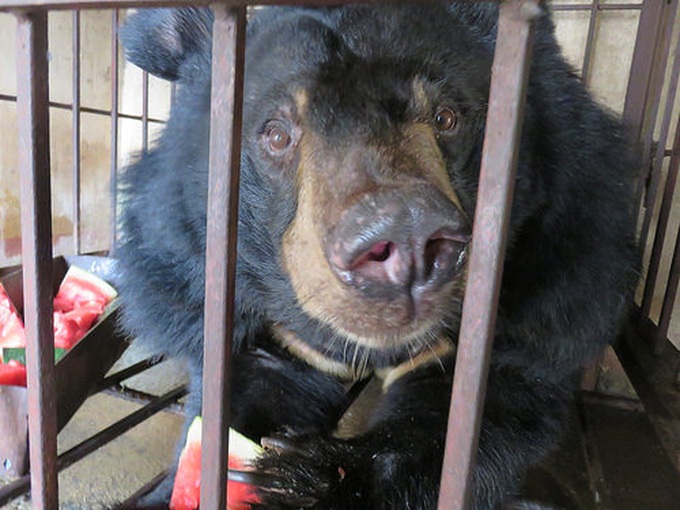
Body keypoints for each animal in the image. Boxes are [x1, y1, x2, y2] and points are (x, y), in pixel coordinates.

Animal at [116, 3, 639, 509]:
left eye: (447, 118)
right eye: (277, 135)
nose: (405, 237)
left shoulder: (560, 282)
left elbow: (481, 412)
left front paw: (304, 479)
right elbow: (248, 385)